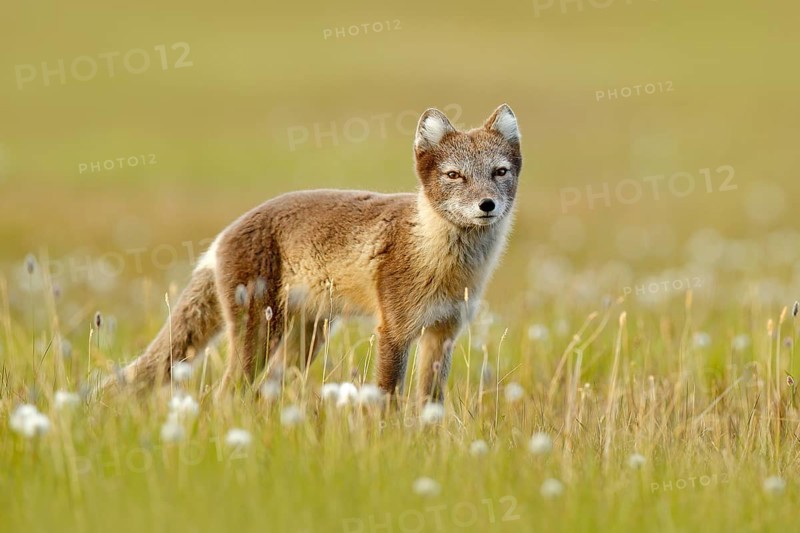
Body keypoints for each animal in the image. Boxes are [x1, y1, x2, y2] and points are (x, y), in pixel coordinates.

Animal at [108, 104, 522, 404]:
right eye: (454, 176)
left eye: (499, 172)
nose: (487, 205)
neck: (442, 261)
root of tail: (226, 232)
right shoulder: (394, 332)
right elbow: (386, 402)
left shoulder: (443, 333)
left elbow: (430, 406)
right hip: (261, 335)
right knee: (226, 393)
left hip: (304, 339)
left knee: (264, 389)